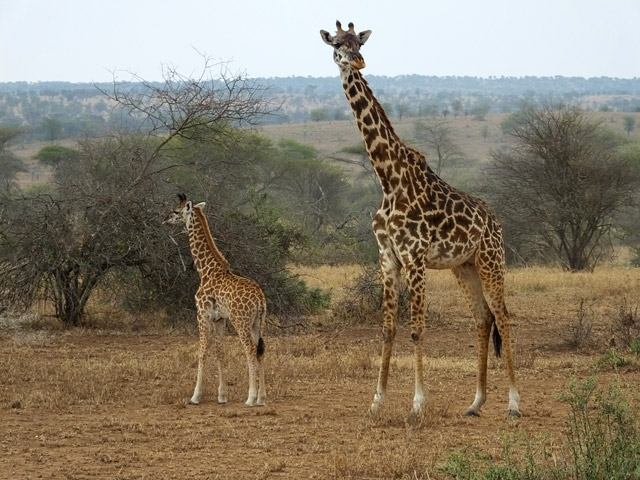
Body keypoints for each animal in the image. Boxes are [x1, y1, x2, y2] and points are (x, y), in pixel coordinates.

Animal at [165, 193, 268, 406]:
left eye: (177, 211)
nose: (165, 219)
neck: (206, 270)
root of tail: (260, 298)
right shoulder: (219, 319)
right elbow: (220, 352)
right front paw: (222, 396)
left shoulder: (202, 314)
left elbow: (202, 351)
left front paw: (195, 396)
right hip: (258, 322)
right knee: (261, 351)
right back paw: (262, 398)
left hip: (241, 321)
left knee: (250, 350)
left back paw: (250, 398)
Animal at [320, 20, 520, 416]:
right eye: (337, 44)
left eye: (358, 43)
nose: (357, 61)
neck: (389, 178)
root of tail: (495, 221)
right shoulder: (387, 257)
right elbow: (388, 329)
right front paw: (376, 403)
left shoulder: (415, 257)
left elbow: (416, 329)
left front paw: (417, 404)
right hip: (464, 266)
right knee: (482, 318)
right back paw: (475, 402)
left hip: (492, 260)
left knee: (503, 317)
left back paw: (514, 403)